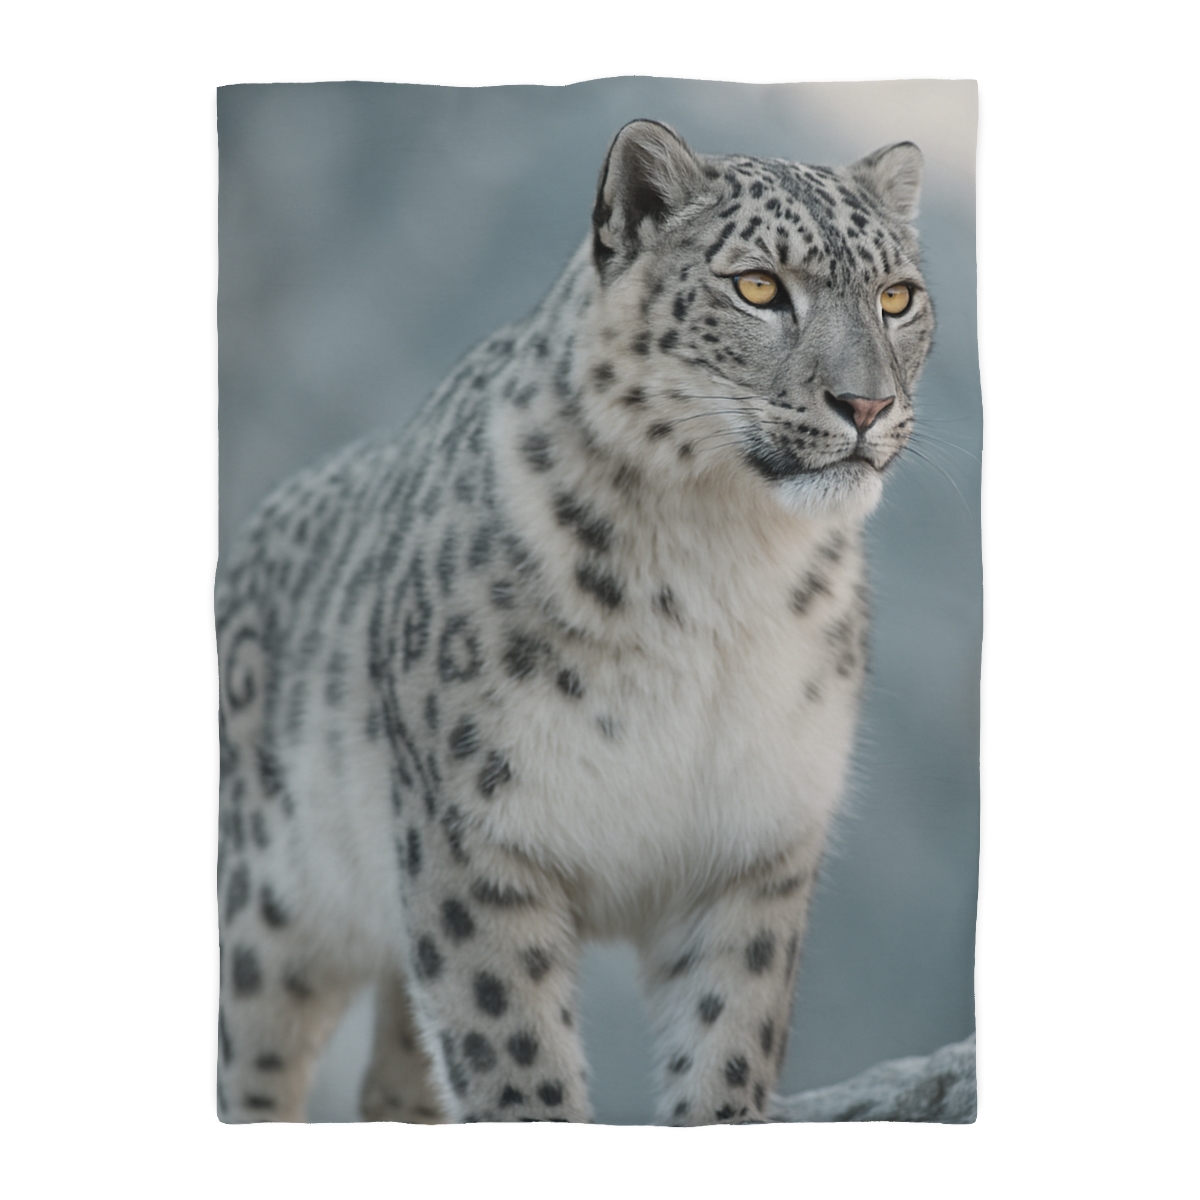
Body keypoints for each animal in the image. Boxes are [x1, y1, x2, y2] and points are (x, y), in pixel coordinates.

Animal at [215, 118, 935, 1125]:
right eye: (759, 285)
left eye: (896, 296)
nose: (867, 404)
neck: (725, 572)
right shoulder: (476, 841)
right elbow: (514, 1056)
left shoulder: (754, 847)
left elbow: (728, 1041)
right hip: (266, 913)